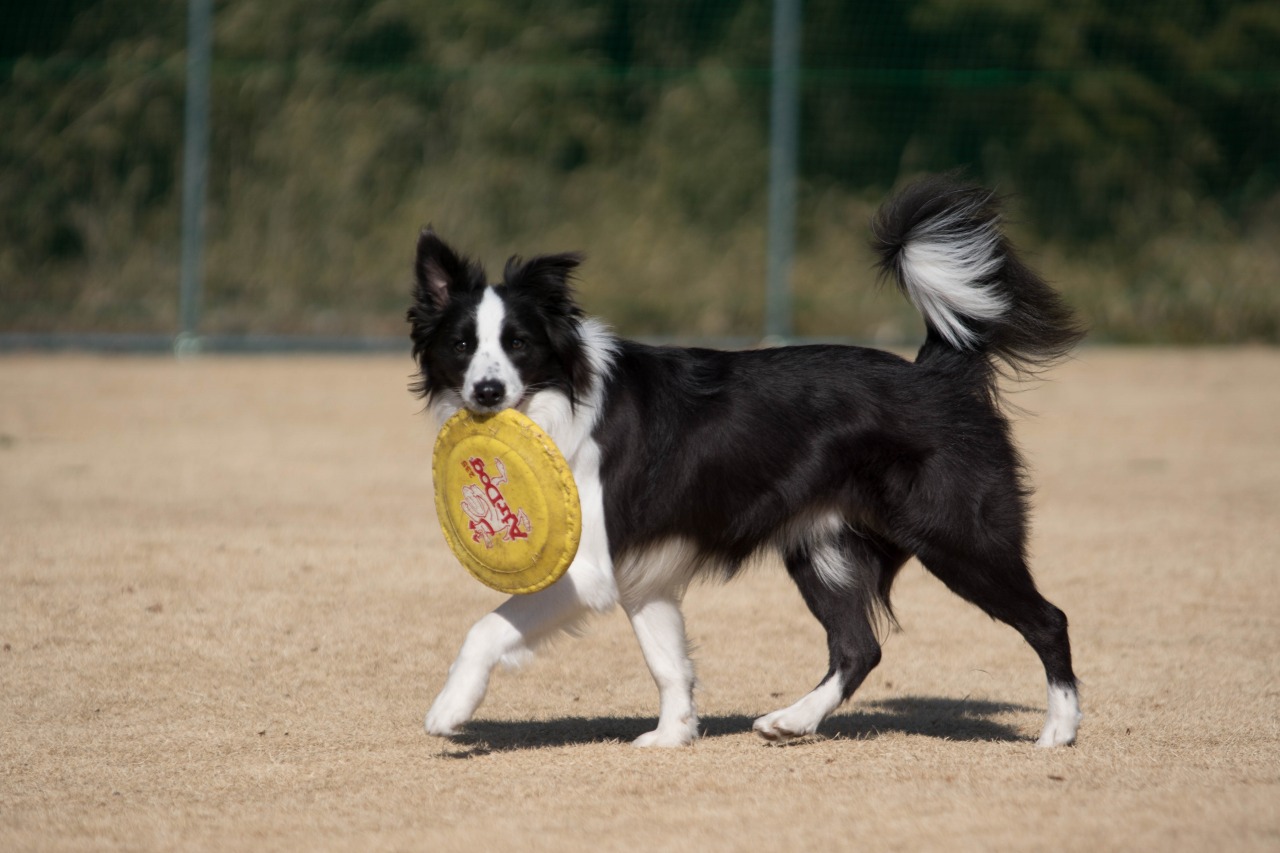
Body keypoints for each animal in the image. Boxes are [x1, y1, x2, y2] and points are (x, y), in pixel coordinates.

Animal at [407, 174, 1080, 742]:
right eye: (461, 345)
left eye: (518, 344)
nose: (486, 392)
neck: (556, 400)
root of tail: (935, 372)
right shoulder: (642, 575)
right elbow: (668, 661)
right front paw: (672, 736)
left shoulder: (590, 565)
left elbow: (488, 626)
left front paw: (448, 711)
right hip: (824, 548)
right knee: (859, 647)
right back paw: (793, 720)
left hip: (956, 535)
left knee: (1049, 619)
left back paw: (1059, 731)